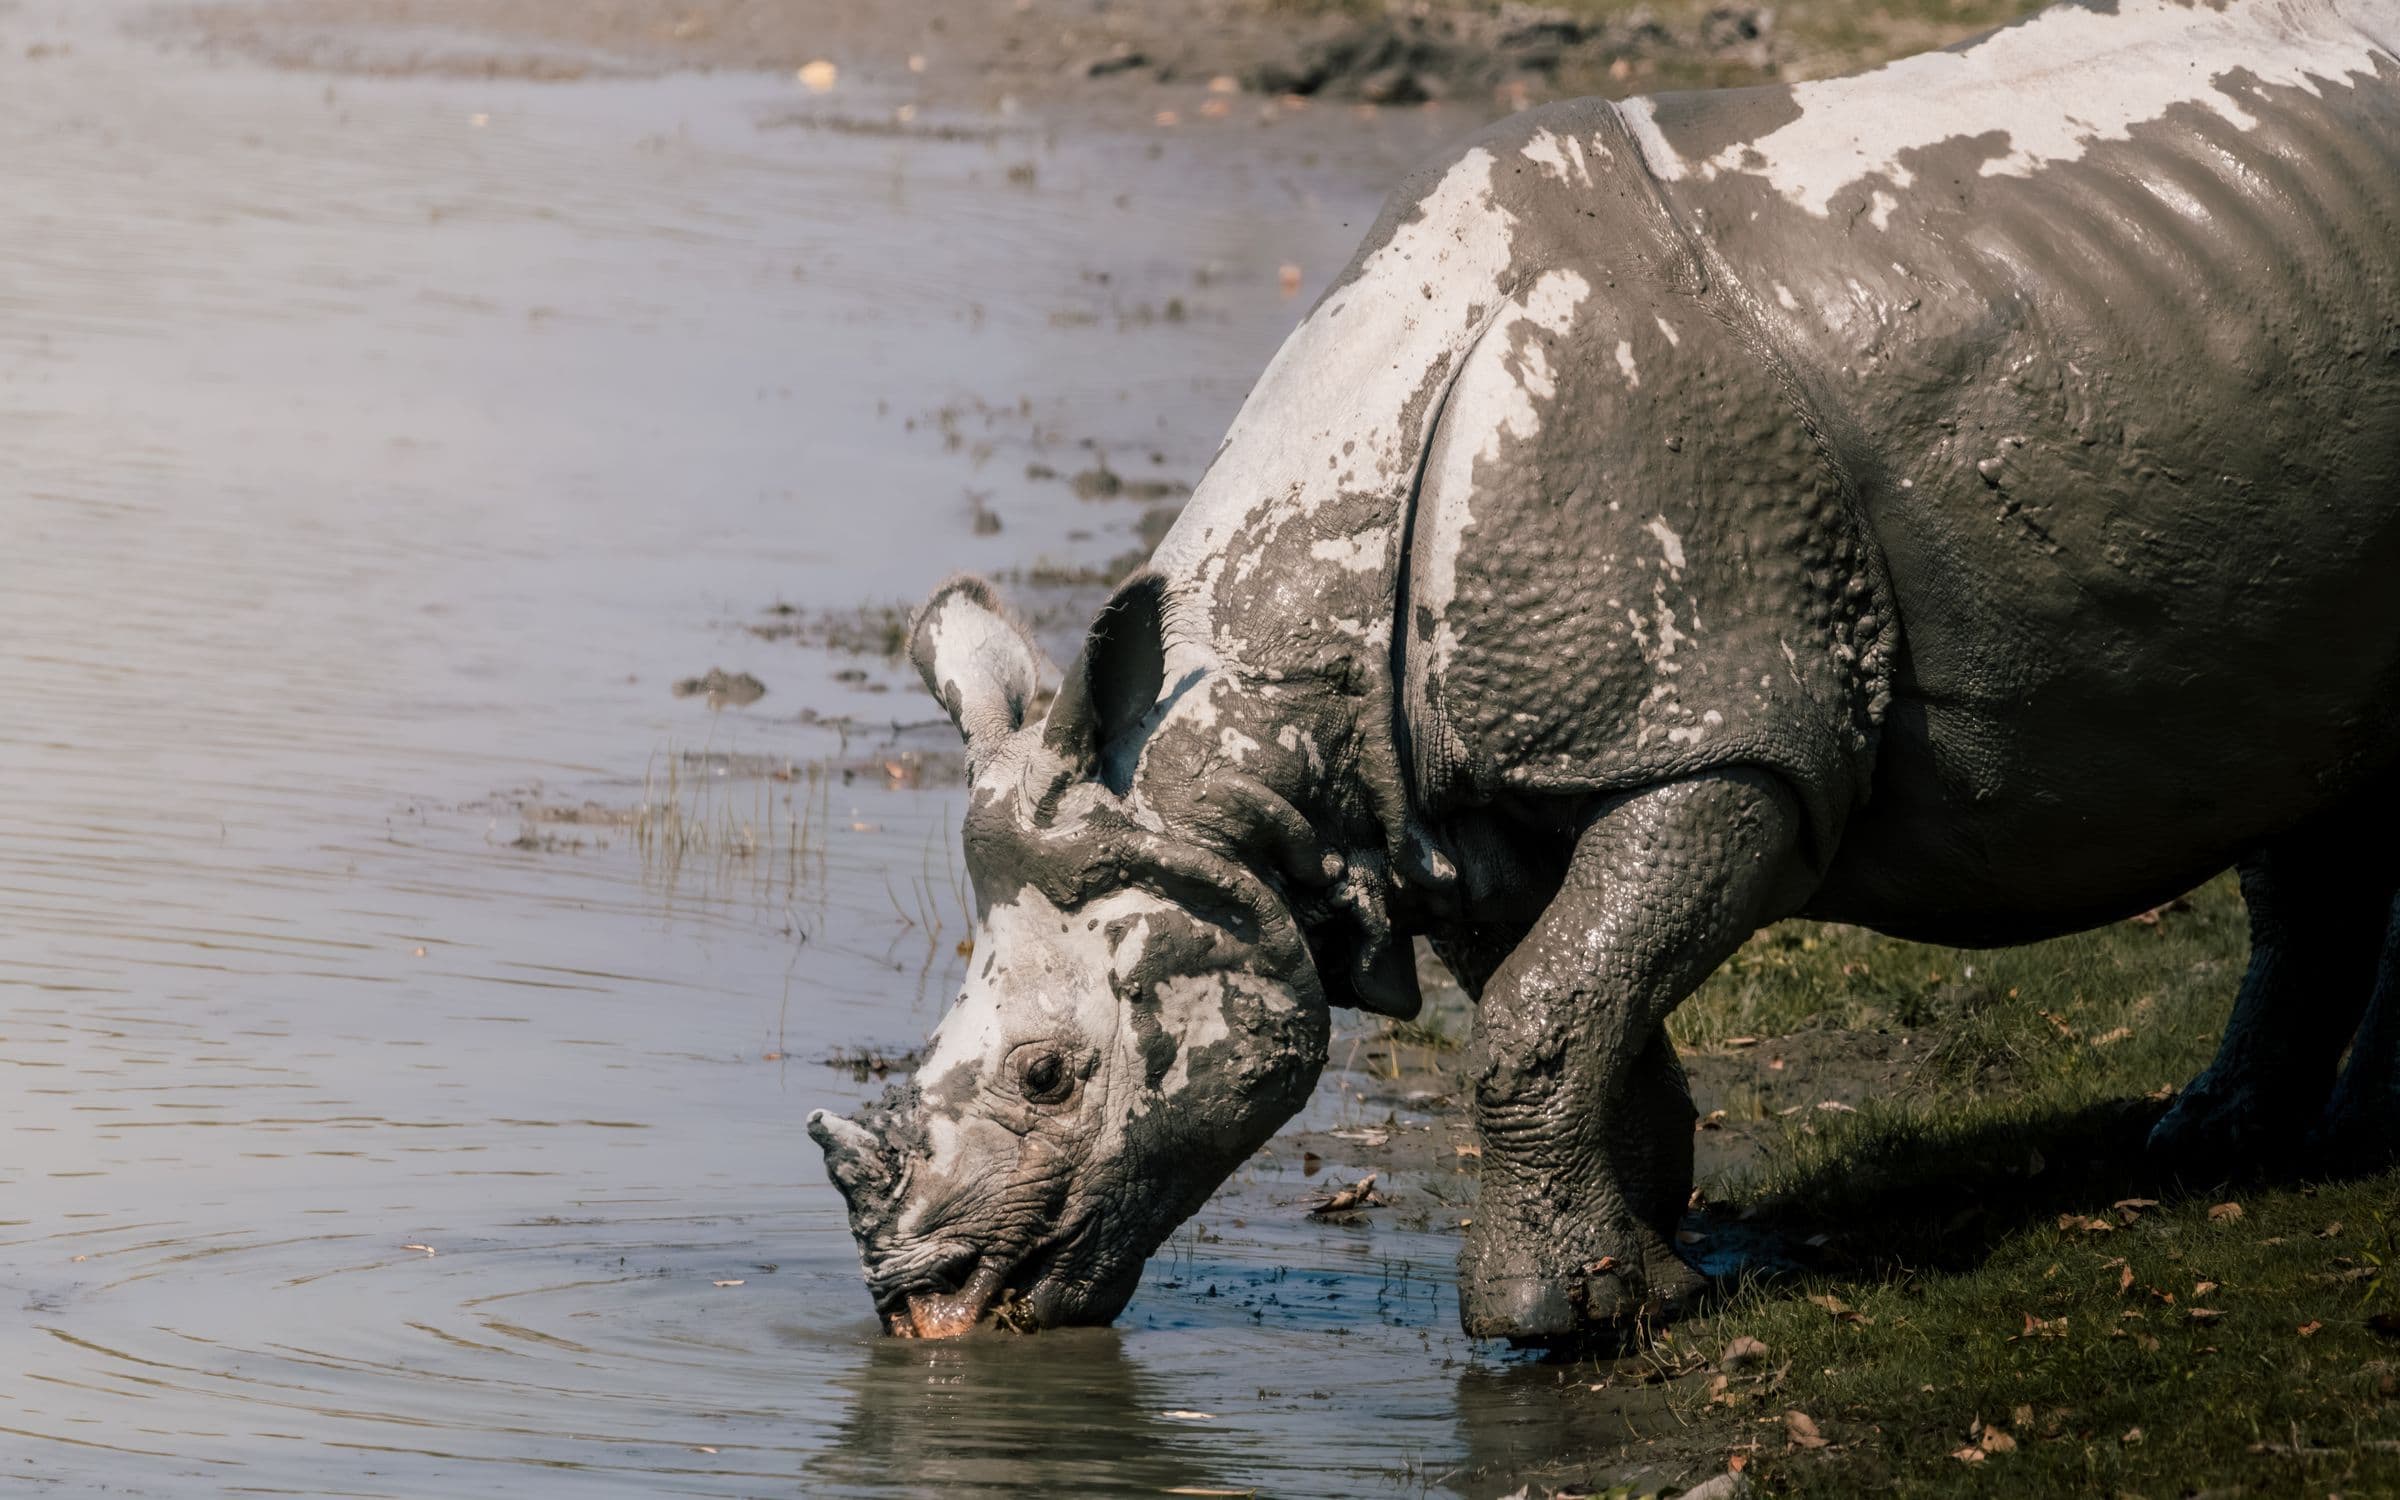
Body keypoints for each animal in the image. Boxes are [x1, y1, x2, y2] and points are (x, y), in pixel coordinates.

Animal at [811, 0, 2400, 1342]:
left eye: (1049, 1075)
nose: (921, 1304)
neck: (1246, 745)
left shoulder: (1730, 729)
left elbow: (1548, 1008)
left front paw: (1550, 1324)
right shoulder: (1456, 794)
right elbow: (1581, 1007)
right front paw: (1646, 1273)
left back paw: (2329, 1143)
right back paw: (2223, 1142)